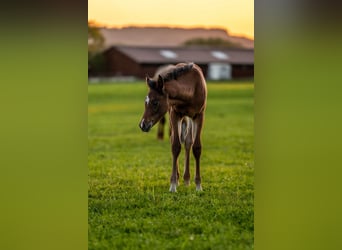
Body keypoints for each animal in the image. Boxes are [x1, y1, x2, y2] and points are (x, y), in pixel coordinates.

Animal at [138, 62, 207, 191]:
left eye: (155, 102)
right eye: (145, 102)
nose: (142, 124)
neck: (191, 89)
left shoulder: (199, 116)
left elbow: (196, 147)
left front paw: (198, 185)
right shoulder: (174, 114)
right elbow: (175, 146)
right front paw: (173, 184)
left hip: (189, 118)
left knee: (188, 142)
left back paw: (187, 179)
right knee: (175, 139)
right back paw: (180, 178)